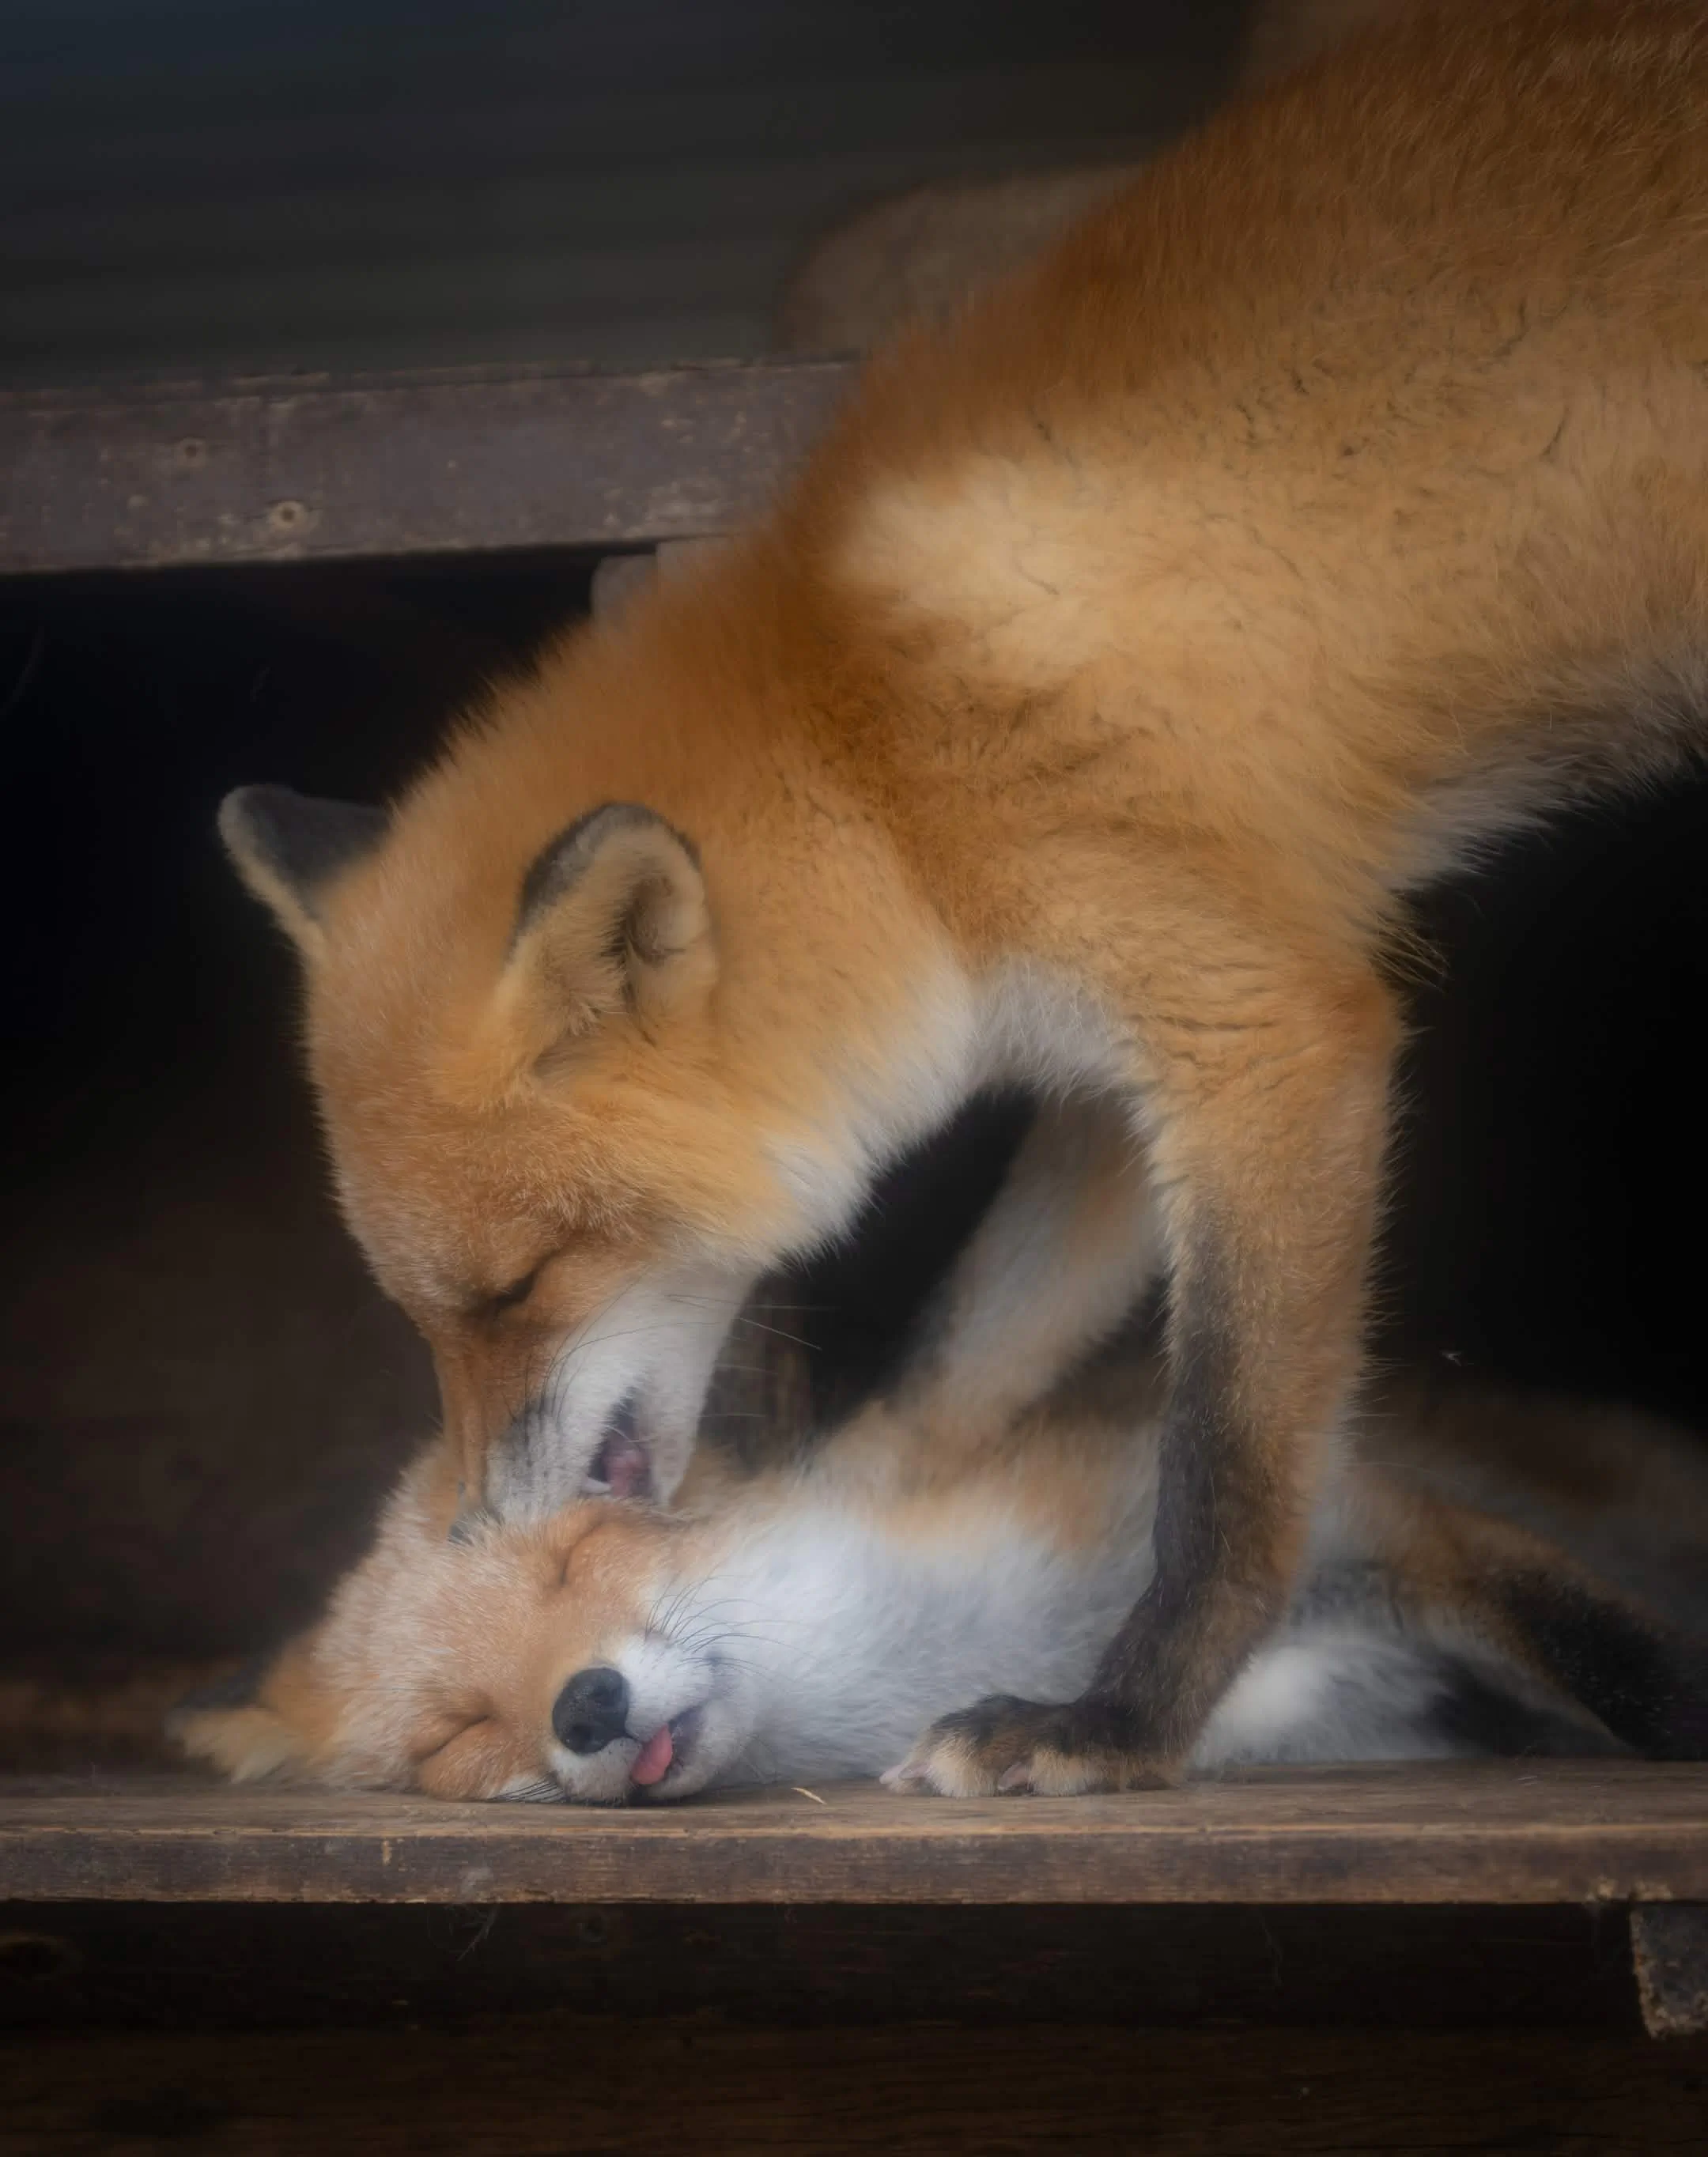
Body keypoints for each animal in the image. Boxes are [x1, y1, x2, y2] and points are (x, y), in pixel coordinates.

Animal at [219, 0, 1708, 1795]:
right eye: (423, 1316)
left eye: (514, 1291)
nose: (474, 1530)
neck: (880, 745)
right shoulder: (1122, 1055)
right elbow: (966, 1348)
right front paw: (867, 1494)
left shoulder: (1270, 1032)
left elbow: (1226, 1466)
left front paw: (1120, 1722)